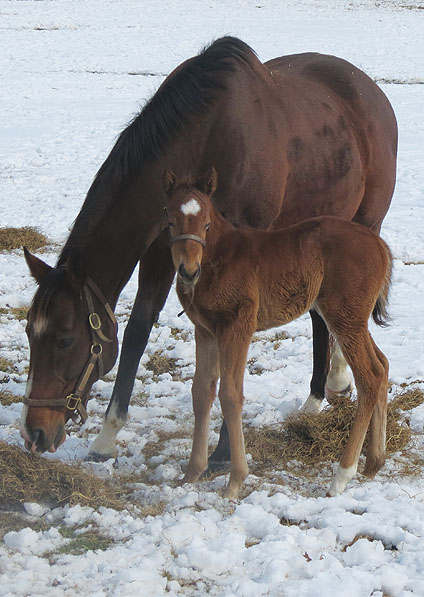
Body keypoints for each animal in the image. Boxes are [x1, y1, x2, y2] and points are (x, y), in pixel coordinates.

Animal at [20, 36, 398, 456]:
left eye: (65, 339)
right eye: (29, 334)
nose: (34, 433)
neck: (205, 139)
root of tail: (370, 92)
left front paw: (223, 451)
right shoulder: (160, 250)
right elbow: (137, 331)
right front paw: (107, 435)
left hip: (363, 225)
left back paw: (333, 381)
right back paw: (322, 391)